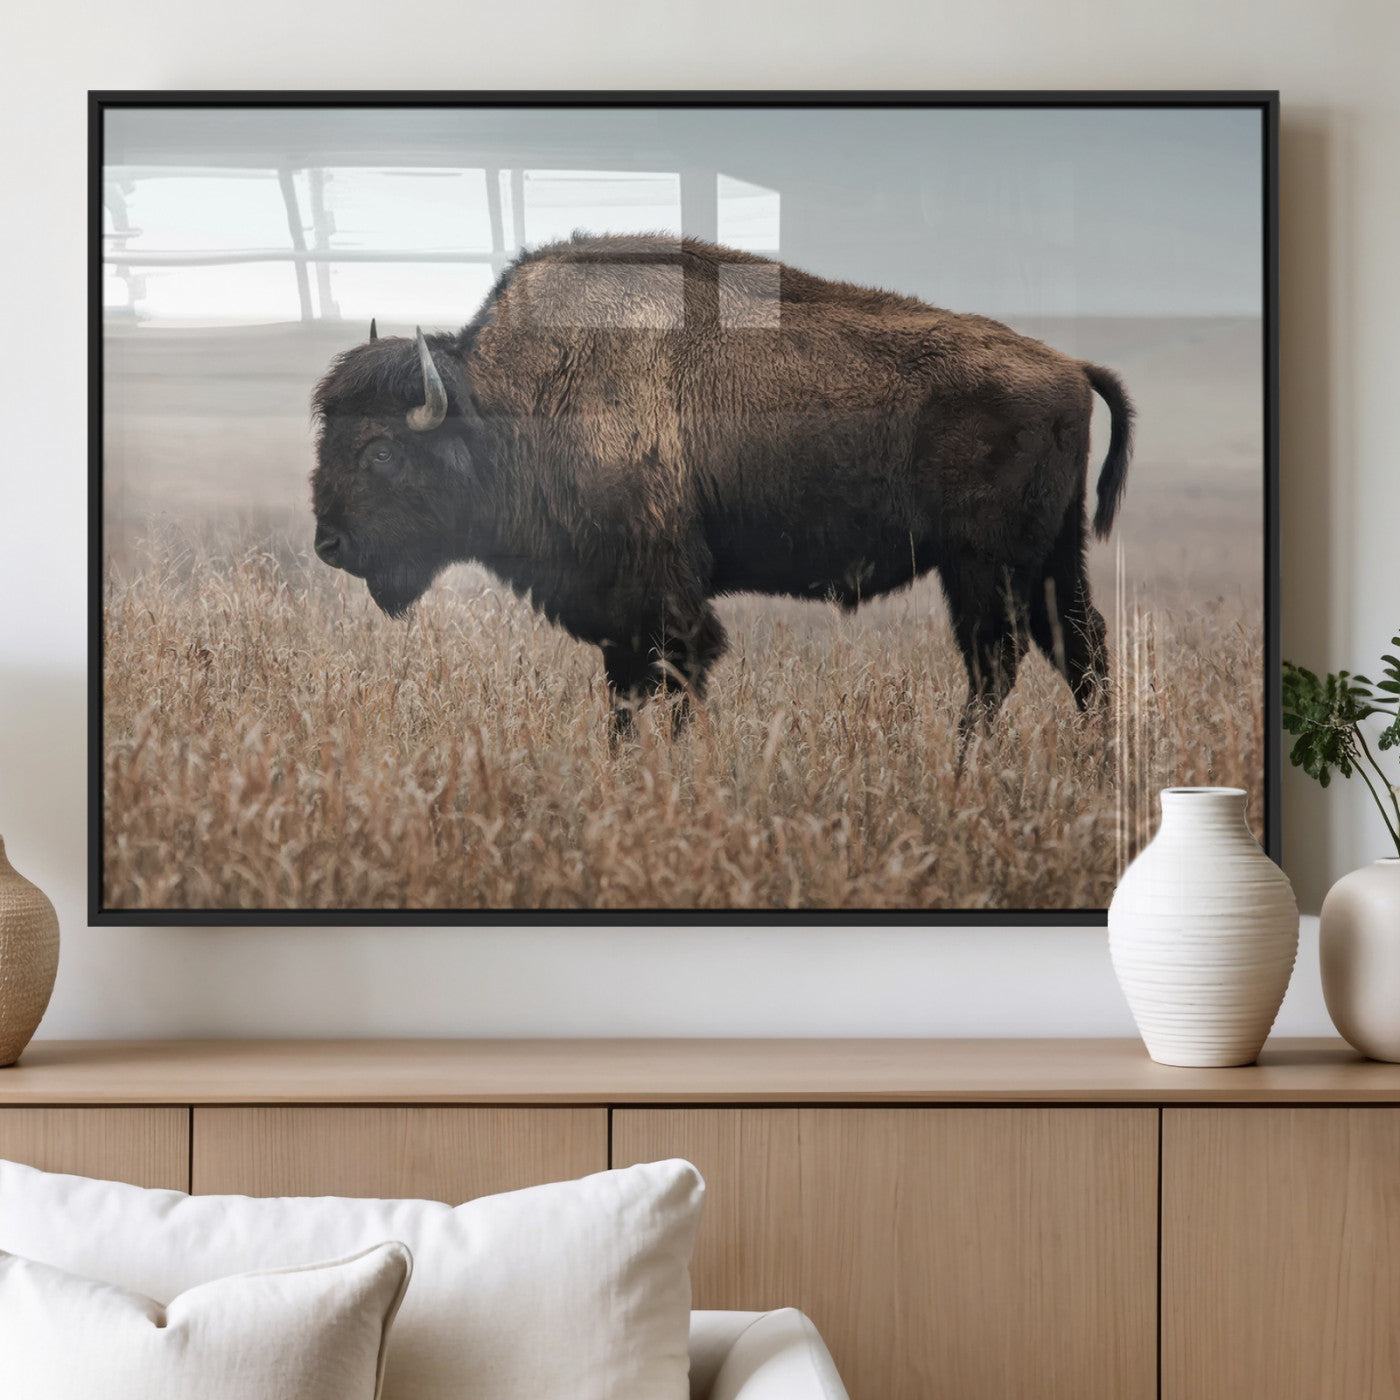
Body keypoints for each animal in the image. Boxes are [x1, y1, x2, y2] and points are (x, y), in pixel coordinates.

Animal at [311, 233, 1133, 739]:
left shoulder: (663, 599)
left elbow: (675, 681)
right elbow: (626, 697)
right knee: (1079, 650)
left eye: (381, 452)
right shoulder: (620, 614)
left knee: (999, 662)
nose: (329, 545)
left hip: (985, 567)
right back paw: (1091, 764)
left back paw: (967, 769)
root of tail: (1068, 366)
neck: (512, 402)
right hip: (1049, 560)